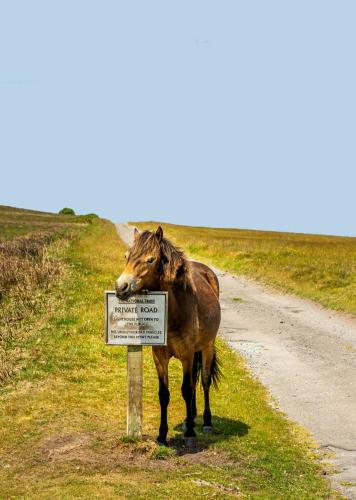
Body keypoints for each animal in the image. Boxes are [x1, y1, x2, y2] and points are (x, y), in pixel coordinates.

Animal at [115, 228, 220, 446]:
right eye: (126, 256)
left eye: (150, 259)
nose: (121, 287)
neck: (174, 311)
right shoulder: (159, 355)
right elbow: (164, 394)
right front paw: (162, 435)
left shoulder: (187, 355)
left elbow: (187, 389)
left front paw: (190, 433)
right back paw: (192, 416)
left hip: (207, 346)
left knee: (204, 381)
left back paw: (206, 422)